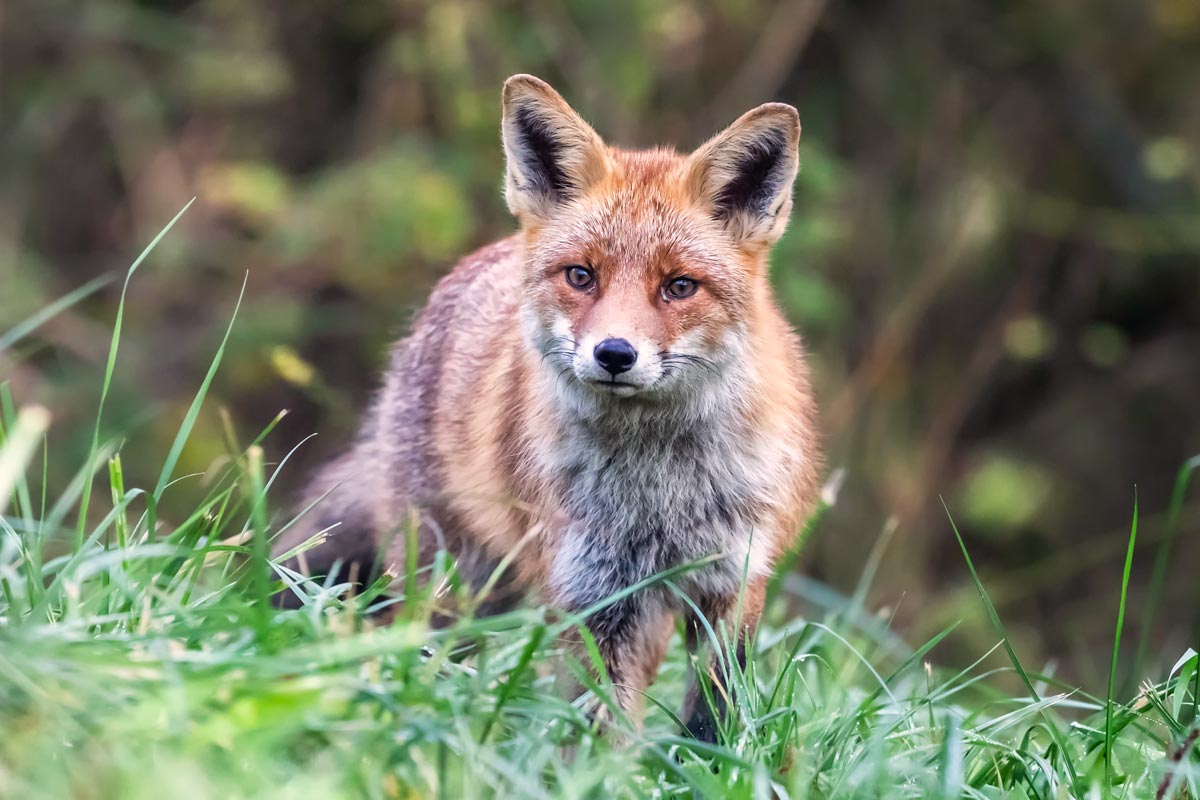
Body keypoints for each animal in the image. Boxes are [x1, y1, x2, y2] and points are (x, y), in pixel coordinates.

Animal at [273, 74, 822, 741]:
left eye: (679, 287)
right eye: (581, 276)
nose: (614, 353)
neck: (659, 492)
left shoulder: (733, 583)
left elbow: (713, 718)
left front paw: (703, 763)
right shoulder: (595, 594)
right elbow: (595, 722)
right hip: (453, 578)